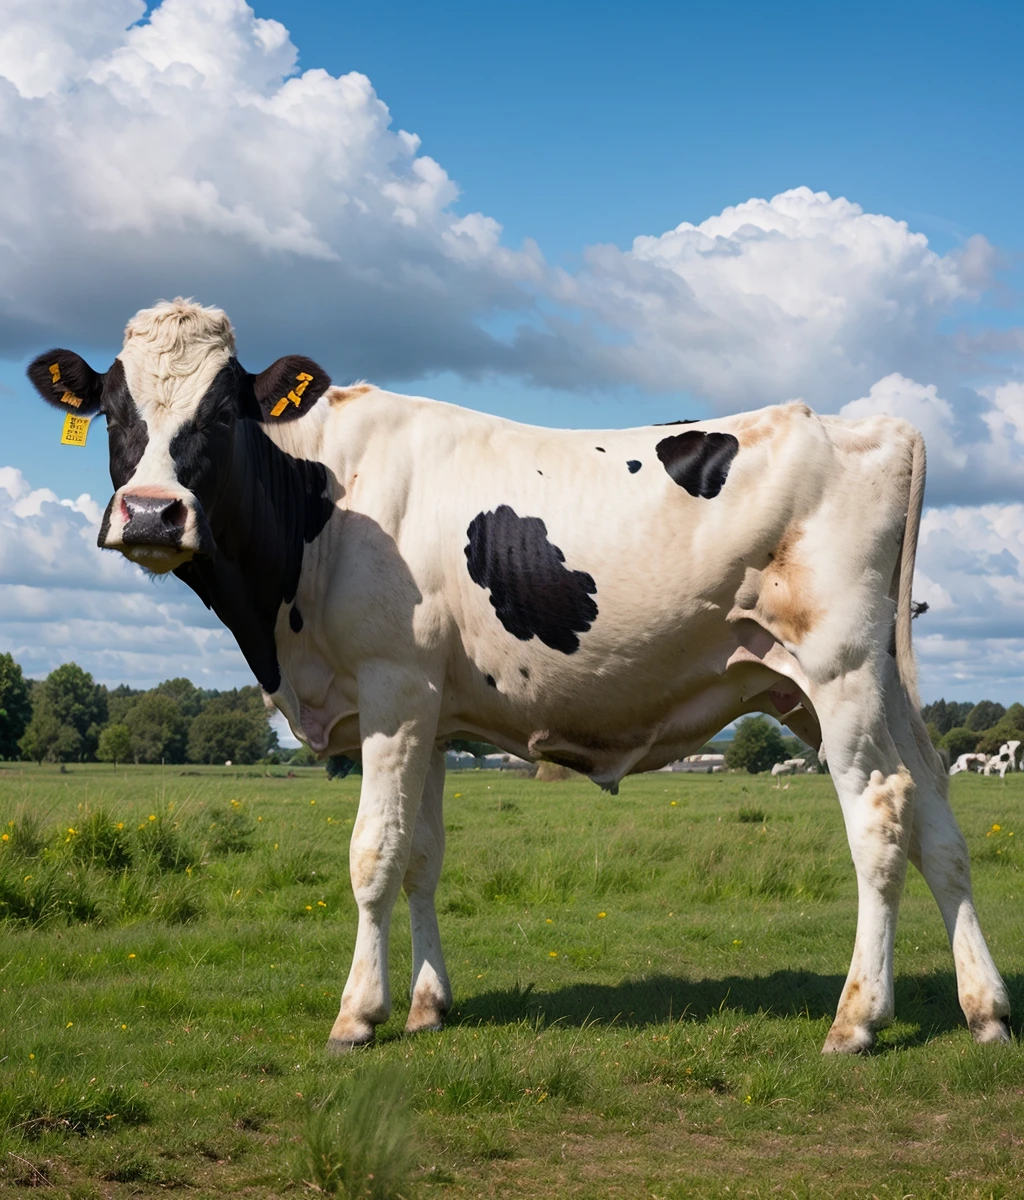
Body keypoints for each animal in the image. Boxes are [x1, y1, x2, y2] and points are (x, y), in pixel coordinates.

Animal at [24, 297, 1008, 1051]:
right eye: (113, 409)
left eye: (223, 412)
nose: (152, 513)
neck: (318, 503)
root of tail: (871, 424)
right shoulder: (431, 709)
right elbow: (422, 856)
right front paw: (427, 1007)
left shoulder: (392, 687)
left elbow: (373, 854)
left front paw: (357, 1015)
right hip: (846, 681)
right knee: (936, 814)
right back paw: (985, 1008)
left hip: (837, 669)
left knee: (880, 814)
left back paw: (857, 1020)